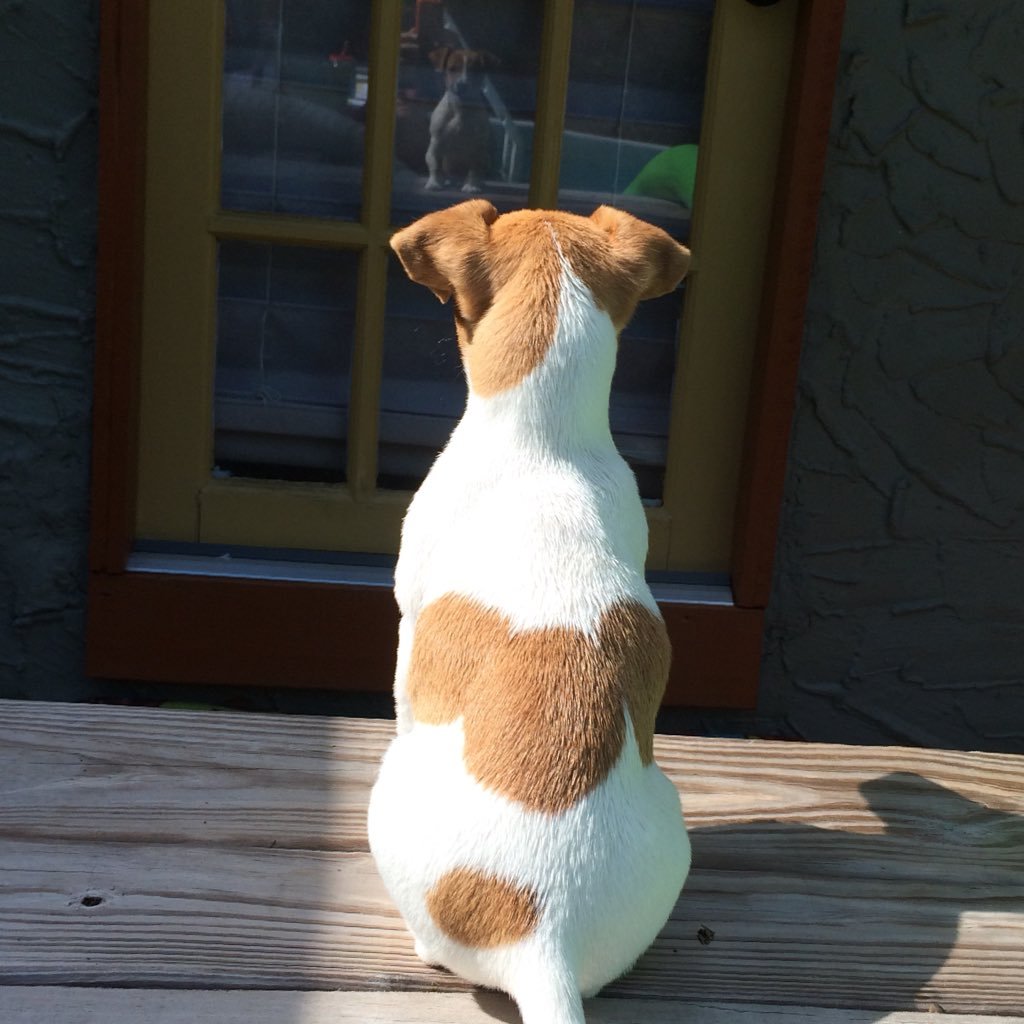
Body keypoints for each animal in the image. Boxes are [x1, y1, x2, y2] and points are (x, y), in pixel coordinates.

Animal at [423, 47, 495, 193]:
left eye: (475, 70)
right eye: (452, 68)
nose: (462, 85)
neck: (461, 108)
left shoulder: (478, 146)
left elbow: (474, 168)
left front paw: (472, 185)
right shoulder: (436, 142)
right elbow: (435, 165)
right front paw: (434, 182)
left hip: (486, 157)